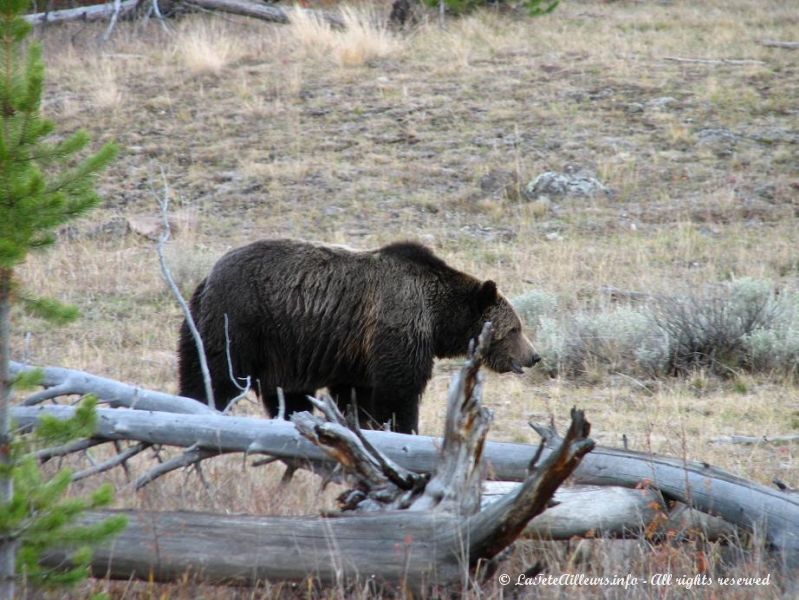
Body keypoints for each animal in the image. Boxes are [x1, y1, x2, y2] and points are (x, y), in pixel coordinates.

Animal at [178, 241, 540, 434]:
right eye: (516, 329)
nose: (534, 356)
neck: (438, 319)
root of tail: (205, 278)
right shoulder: (396, 328)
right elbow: (399, 393)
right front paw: (404, 429)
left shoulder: (354, 357)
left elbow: (357, 397)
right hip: (239, 321)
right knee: (214, 374)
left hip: (280, 348)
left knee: (290, 395)